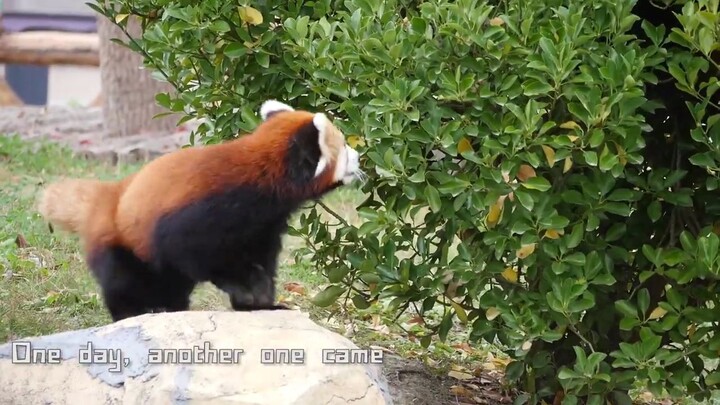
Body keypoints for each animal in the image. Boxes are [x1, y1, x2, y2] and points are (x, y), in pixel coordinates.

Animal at [36, 101, 362, 322]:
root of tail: (110, 195)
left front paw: (261, 302)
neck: (262, 183)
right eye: (345, 148)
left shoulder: (264, 226)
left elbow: (262, 262)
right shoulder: (200, 215)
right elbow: (199, 257)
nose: (360, 156)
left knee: (169, 285)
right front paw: (244, 291)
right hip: (121, 243)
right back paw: (132, 313)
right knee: (123, 282)